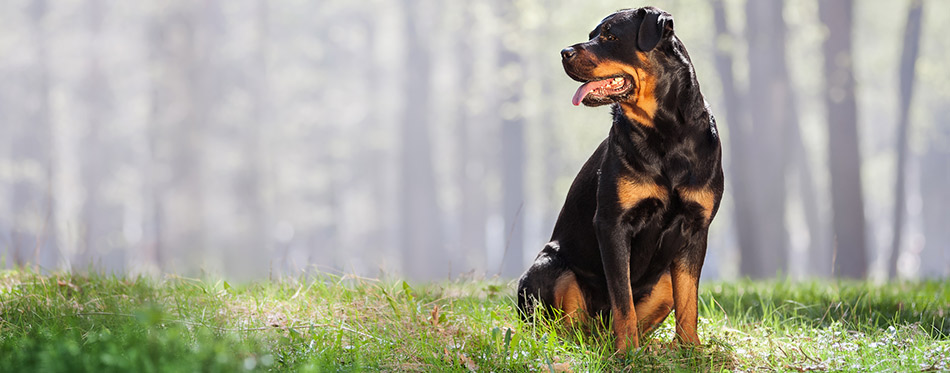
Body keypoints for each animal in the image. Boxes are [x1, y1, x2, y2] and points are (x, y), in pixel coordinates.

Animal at [516, 5, 724, 350]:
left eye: (610, 37)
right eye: (591, 35)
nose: (564, 52)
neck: (666, 132)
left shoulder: (696, 226)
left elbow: (688, 301)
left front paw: (690, 348)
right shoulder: (612, 223)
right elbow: (622, 298)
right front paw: (628, 351)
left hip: (662, 283)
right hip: (548, 267)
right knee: (566, 323)